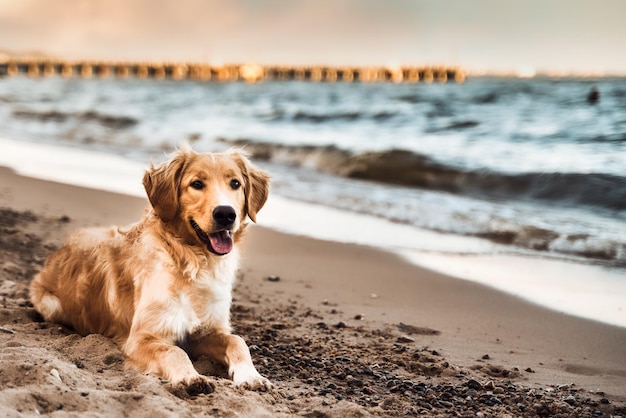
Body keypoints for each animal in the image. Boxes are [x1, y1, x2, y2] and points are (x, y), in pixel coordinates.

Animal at [29, 147, 270, 396]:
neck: (195, 263)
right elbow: (174, 351)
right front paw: (190, 377)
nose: (226, 214)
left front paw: (251, 376)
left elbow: (237, 341)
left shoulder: (203, 332)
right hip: (51, 305)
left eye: (235, 183)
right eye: (196, 184)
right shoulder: (141, 338)